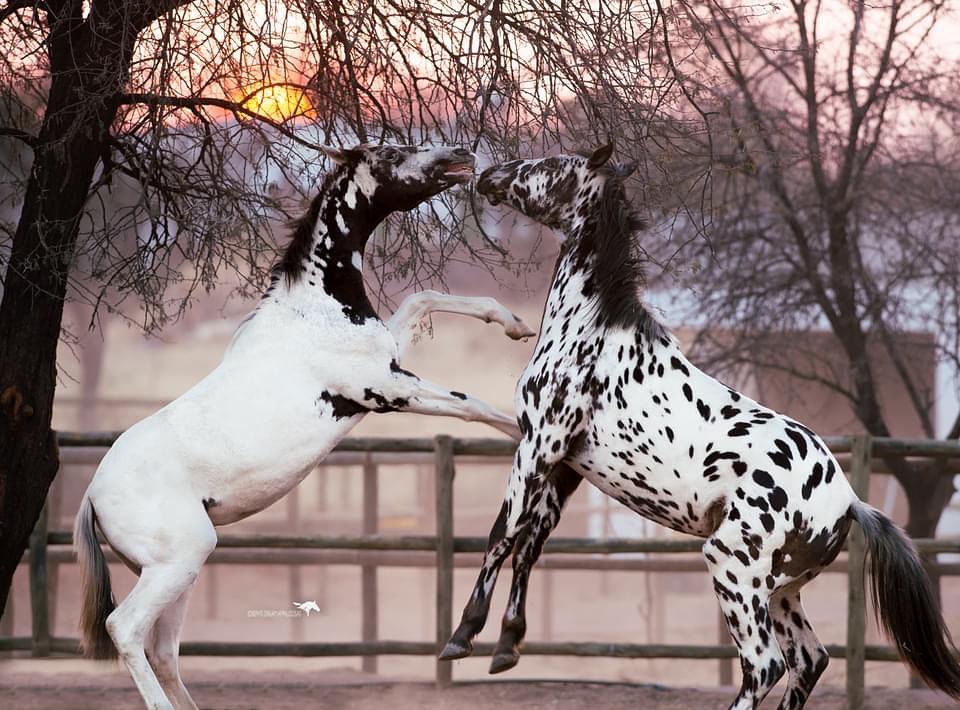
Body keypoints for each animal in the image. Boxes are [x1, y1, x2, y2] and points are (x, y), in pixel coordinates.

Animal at [75, 145, 536, 710]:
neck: (314, 308)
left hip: (176, 570)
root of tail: (94, 494)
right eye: (393, 153)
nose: (461, 154)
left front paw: (514, 324)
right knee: (126, 629)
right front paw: (534, 436)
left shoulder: (388, 362)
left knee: (162, 651)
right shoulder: (389, 389)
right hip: (176, 563)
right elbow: (472, 405)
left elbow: (424, 298)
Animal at [440, 146, 960, 710]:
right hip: (781, 591)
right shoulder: (566, 467)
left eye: (550, 166)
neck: (591, 332)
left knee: (766, 664)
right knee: (810, 660)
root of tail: (849, 503)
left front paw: (462, 637)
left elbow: (501, 534)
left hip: (733, 569)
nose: (488, 175)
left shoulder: (538, 446)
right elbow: (530, 545)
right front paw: (507, 646)